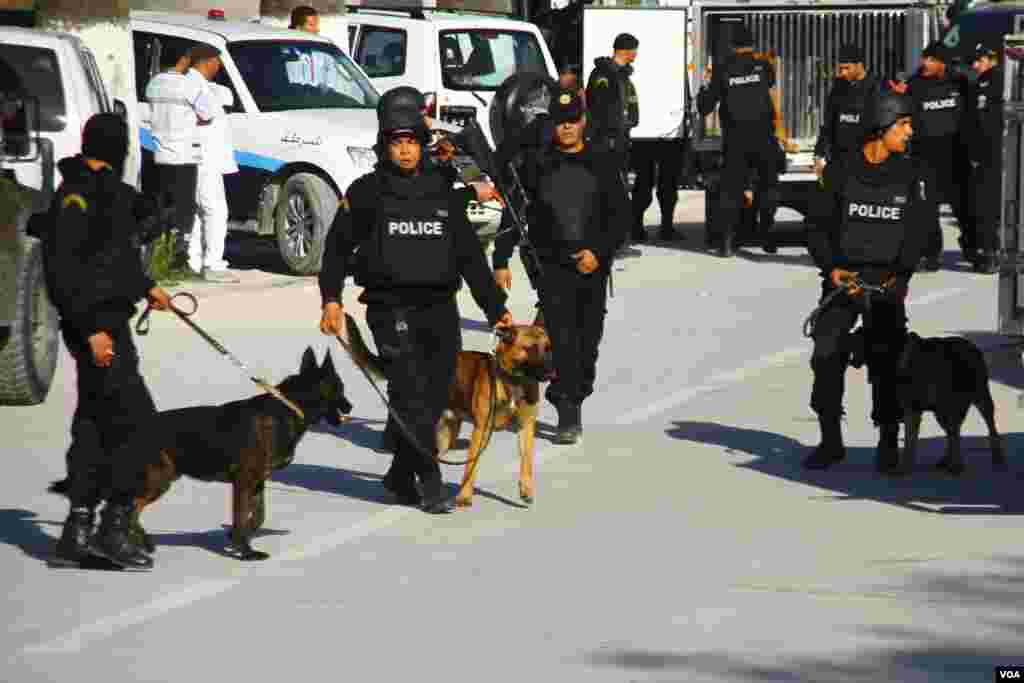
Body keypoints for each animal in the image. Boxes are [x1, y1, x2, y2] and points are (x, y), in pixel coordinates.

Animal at [52, 350, 356, 565]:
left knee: (126, 509)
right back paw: (135, 543)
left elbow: (257, 515)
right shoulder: (243, 482)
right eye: (340, 388)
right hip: (159, 480)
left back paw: (135, 542)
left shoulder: (257, 482)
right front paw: (245, 551)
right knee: (126, 508)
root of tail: (131, 432)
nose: (351, 406)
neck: (287, 408)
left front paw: (236, 538)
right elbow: (242, 517)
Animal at [344, 315, 552, 507]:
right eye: (531, 349)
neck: (513, 380)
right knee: (410, 453)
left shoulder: (526, 427)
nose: (552, 373)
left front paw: (526, 490)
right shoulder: (481, 430)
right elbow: (470, 467)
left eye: (548, 348)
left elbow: (526, 461)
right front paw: (464, 497)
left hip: (445, 436)